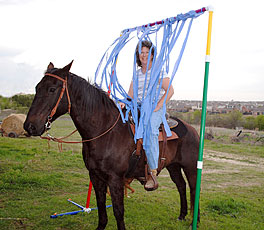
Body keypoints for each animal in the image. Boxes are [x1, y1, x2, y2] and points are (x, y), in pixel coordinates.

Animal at [24, 61, 200, 230]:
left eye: (52, 89)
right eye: (37, 88)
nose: (29, 126)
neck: (105, 131)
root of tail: (192, 130)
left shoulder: (115, 179)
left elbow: (118, 210)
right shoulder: (95, 176)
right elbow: (101, 206)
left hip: (190, 167)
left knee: (193, 188)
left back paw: (194, 221)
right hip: (173, 166)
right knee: (181, 186)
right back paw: (182, 216)